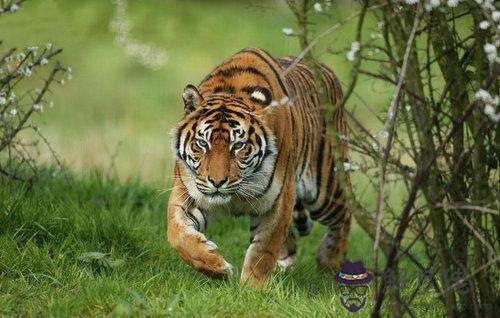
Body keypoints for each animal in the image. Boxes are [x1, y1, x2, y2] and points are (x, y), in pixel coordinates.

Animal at [166, 46, 350, 286]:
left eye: (238, 145)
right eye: (202, 143)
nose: (217, 182)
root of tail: (325, 69)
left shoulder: (279, 201)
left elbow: (263, 252)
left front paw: (252, 289)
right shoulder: (188, 192)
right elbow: (177, 235)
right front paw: (218, 267)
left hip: (325, 191)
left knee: (347, 212)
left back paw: (330, 261)